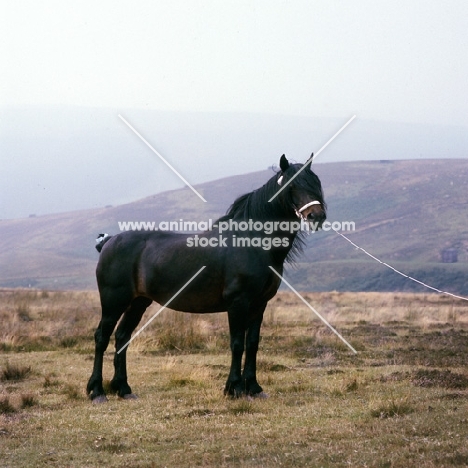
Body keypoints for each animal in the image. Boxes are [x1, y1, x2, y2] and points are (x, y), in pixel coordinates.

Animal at [87, 154, 326, 402]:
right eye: (293, 185)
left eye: (316, 183)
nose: (317, 216)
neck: (253, 242)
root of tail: (109, 241)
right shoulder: (238, 302)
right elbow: (237, 344)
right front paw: (235, 388)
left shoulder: (259, 304)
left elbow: (252, 343)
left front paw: (254, 387)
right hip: (114, 301)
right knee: (102, 337)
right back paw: (97, 391)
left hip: (138, 302)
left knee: (122, 336)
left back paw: (124, 389)